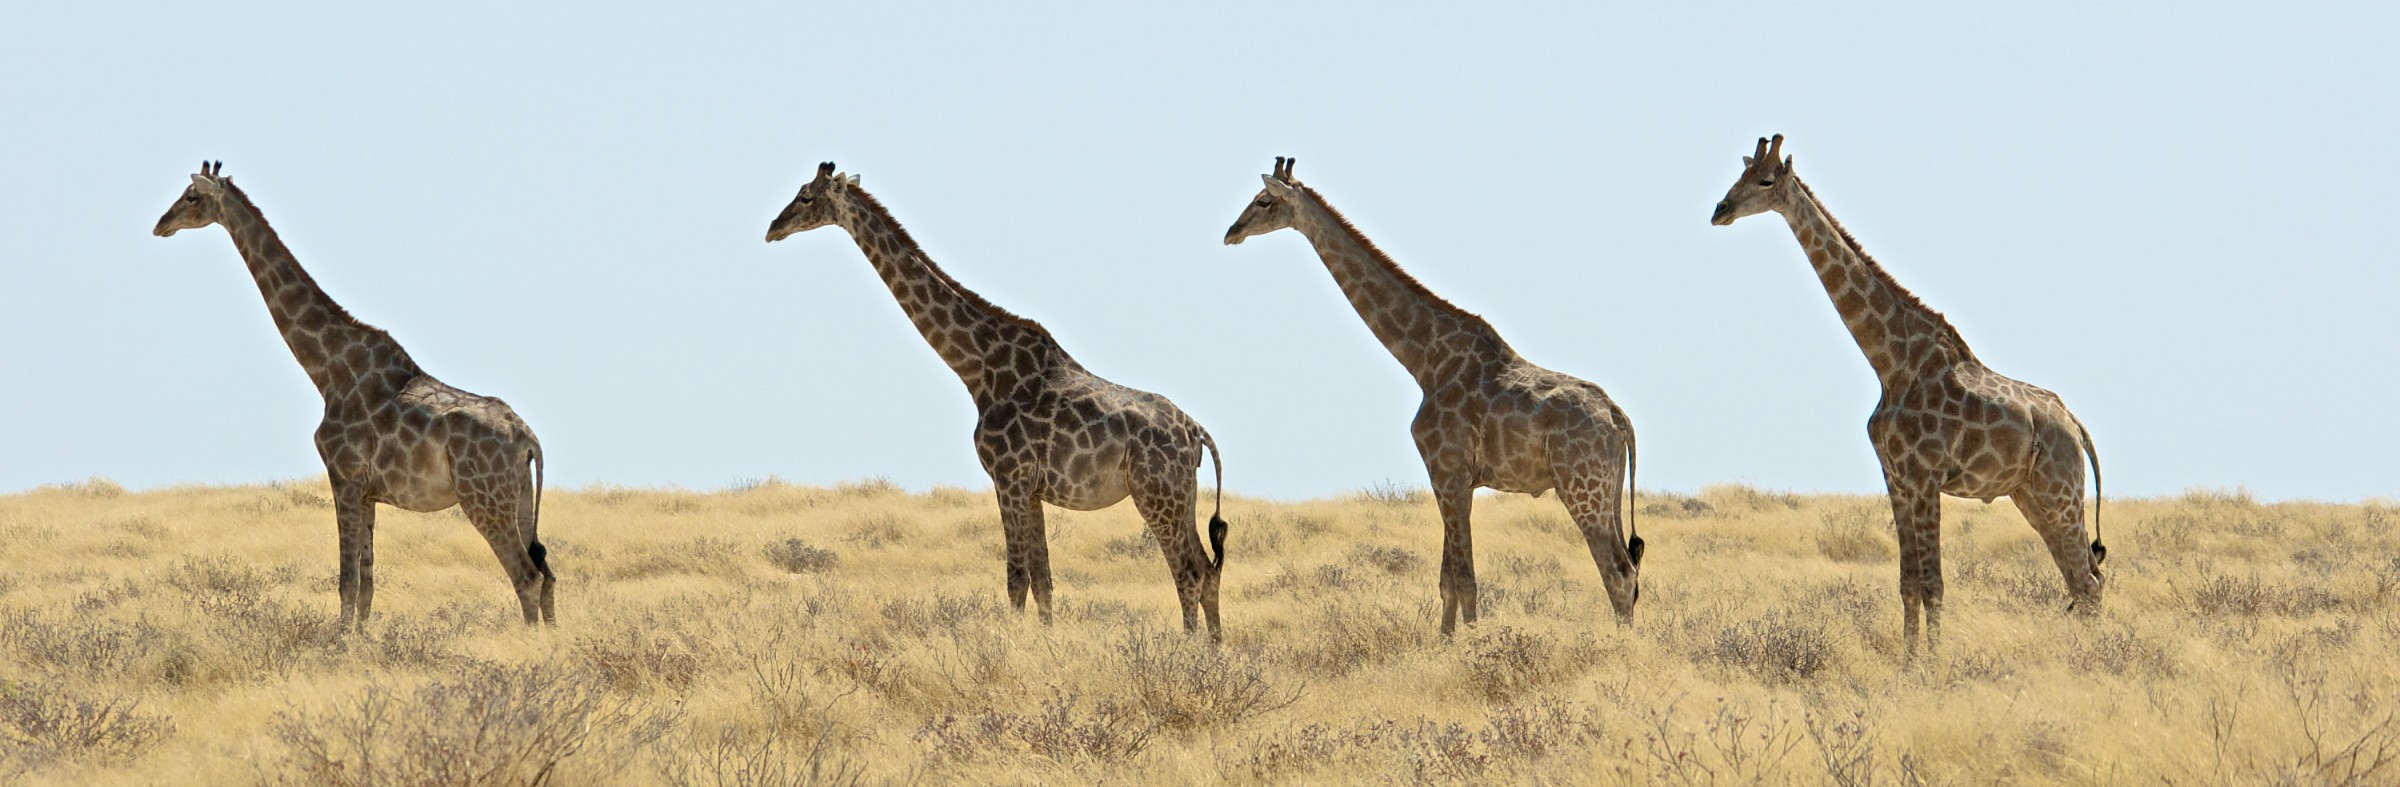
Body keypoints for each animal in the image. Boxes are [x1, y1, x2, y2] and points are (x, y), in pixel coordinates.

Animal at [153, 161, 555, 629]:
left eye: (191, 197)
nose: (161, 225)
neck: (328, 371)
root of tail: (529, 439)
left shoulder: (342, 475)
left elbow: (346, 581)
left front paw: (340, 641)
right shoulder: (367, 491)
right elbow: (367, 584)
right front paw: (360, 639)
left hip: (484, 498)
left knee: (526, 575)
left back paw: (529, 642)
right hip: (520, 498)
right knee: (547, 572)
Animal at [765, 162, 1230, 639]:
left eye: (806, 197)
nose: (772, 229)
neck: (980, 371)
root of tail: (1197, 433)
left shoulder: (1008, 477)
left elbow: (1016, 578)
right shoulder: (1032, 488)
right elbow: (1043, 580)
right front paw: (1045, 642)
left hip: (1155, 493)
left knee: (1187, 572)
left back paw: (1188, 647)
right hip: (1182, 495)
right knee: (1208, 569)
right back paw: (1214, 649)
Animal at [1224, 157, 1642, 633]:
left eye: (1263, 200)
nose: (1231, 232)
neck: (1425, 361)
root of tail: (1619, 417)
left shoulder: (1447, 470)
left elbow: (1465, 580)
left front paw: (1476, 644)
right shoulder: (1452, 477)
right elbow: (1447, 582)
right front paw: (1446, 641)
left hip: (1581, 485)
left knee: (1616, 571)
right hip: (1610, 488)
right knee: (1629, 569)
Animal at [1709, 135, 2105, 653]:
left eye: (1766, 179)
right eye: (1739, 174)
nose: (1720, 210)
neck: (1892, 365)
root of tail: (2074, 422)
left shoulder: (1924, 478)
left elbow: (1933, 583)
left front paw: (1933, 664)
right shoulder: (1895, 479)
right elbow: (1908, 582)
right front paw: (1908, 660)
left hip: (2062, 491)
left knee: (2089, 581)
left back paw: (2094, 659)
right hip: (2029, 494)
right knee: (2079, 580)